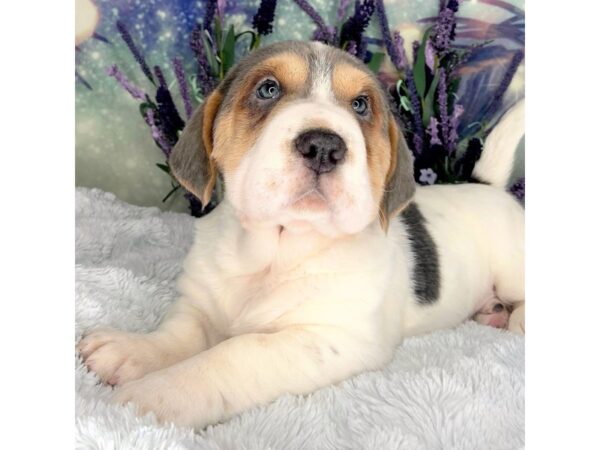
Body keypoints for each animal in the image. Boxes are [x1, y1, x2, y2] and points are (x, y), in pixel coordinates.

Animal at [79, 40, 524, 428]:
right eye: (268, 89)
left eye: (361, 105)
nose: (324, 146)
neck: (276, 248)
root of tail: (486, 186)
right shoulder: (200, 304)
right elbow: (177, 334)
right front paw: (131, 349)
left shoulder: (330, 338)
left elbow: (232, 354)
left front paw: (157, 395)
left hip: (511, 269)